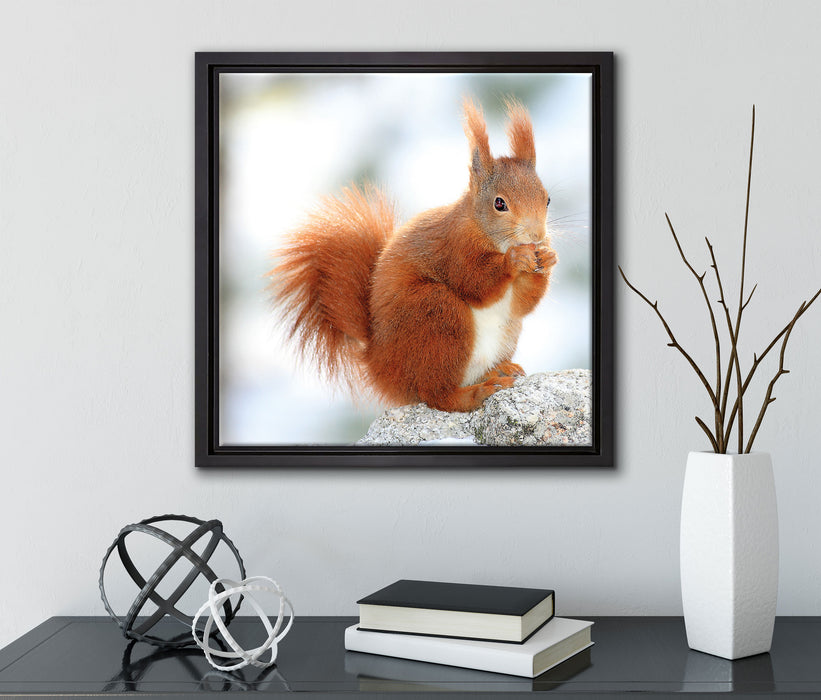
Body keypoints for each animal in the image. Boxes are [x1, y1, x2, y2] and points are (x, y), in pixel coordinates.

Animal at [268, 99, 557, 413]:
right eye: (499, 203)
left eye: (547, 199)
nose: (536, 235)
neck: (487, 233)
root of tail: (379, 365)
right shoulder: (454, 247)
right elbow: (475, 282)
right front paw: (514, 260)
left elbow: (522, 304)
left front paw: (548, 258)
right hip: (436, 315)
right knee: (437, 394)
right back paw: (477, 392)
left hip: (502, 332)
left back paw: (499, 370)